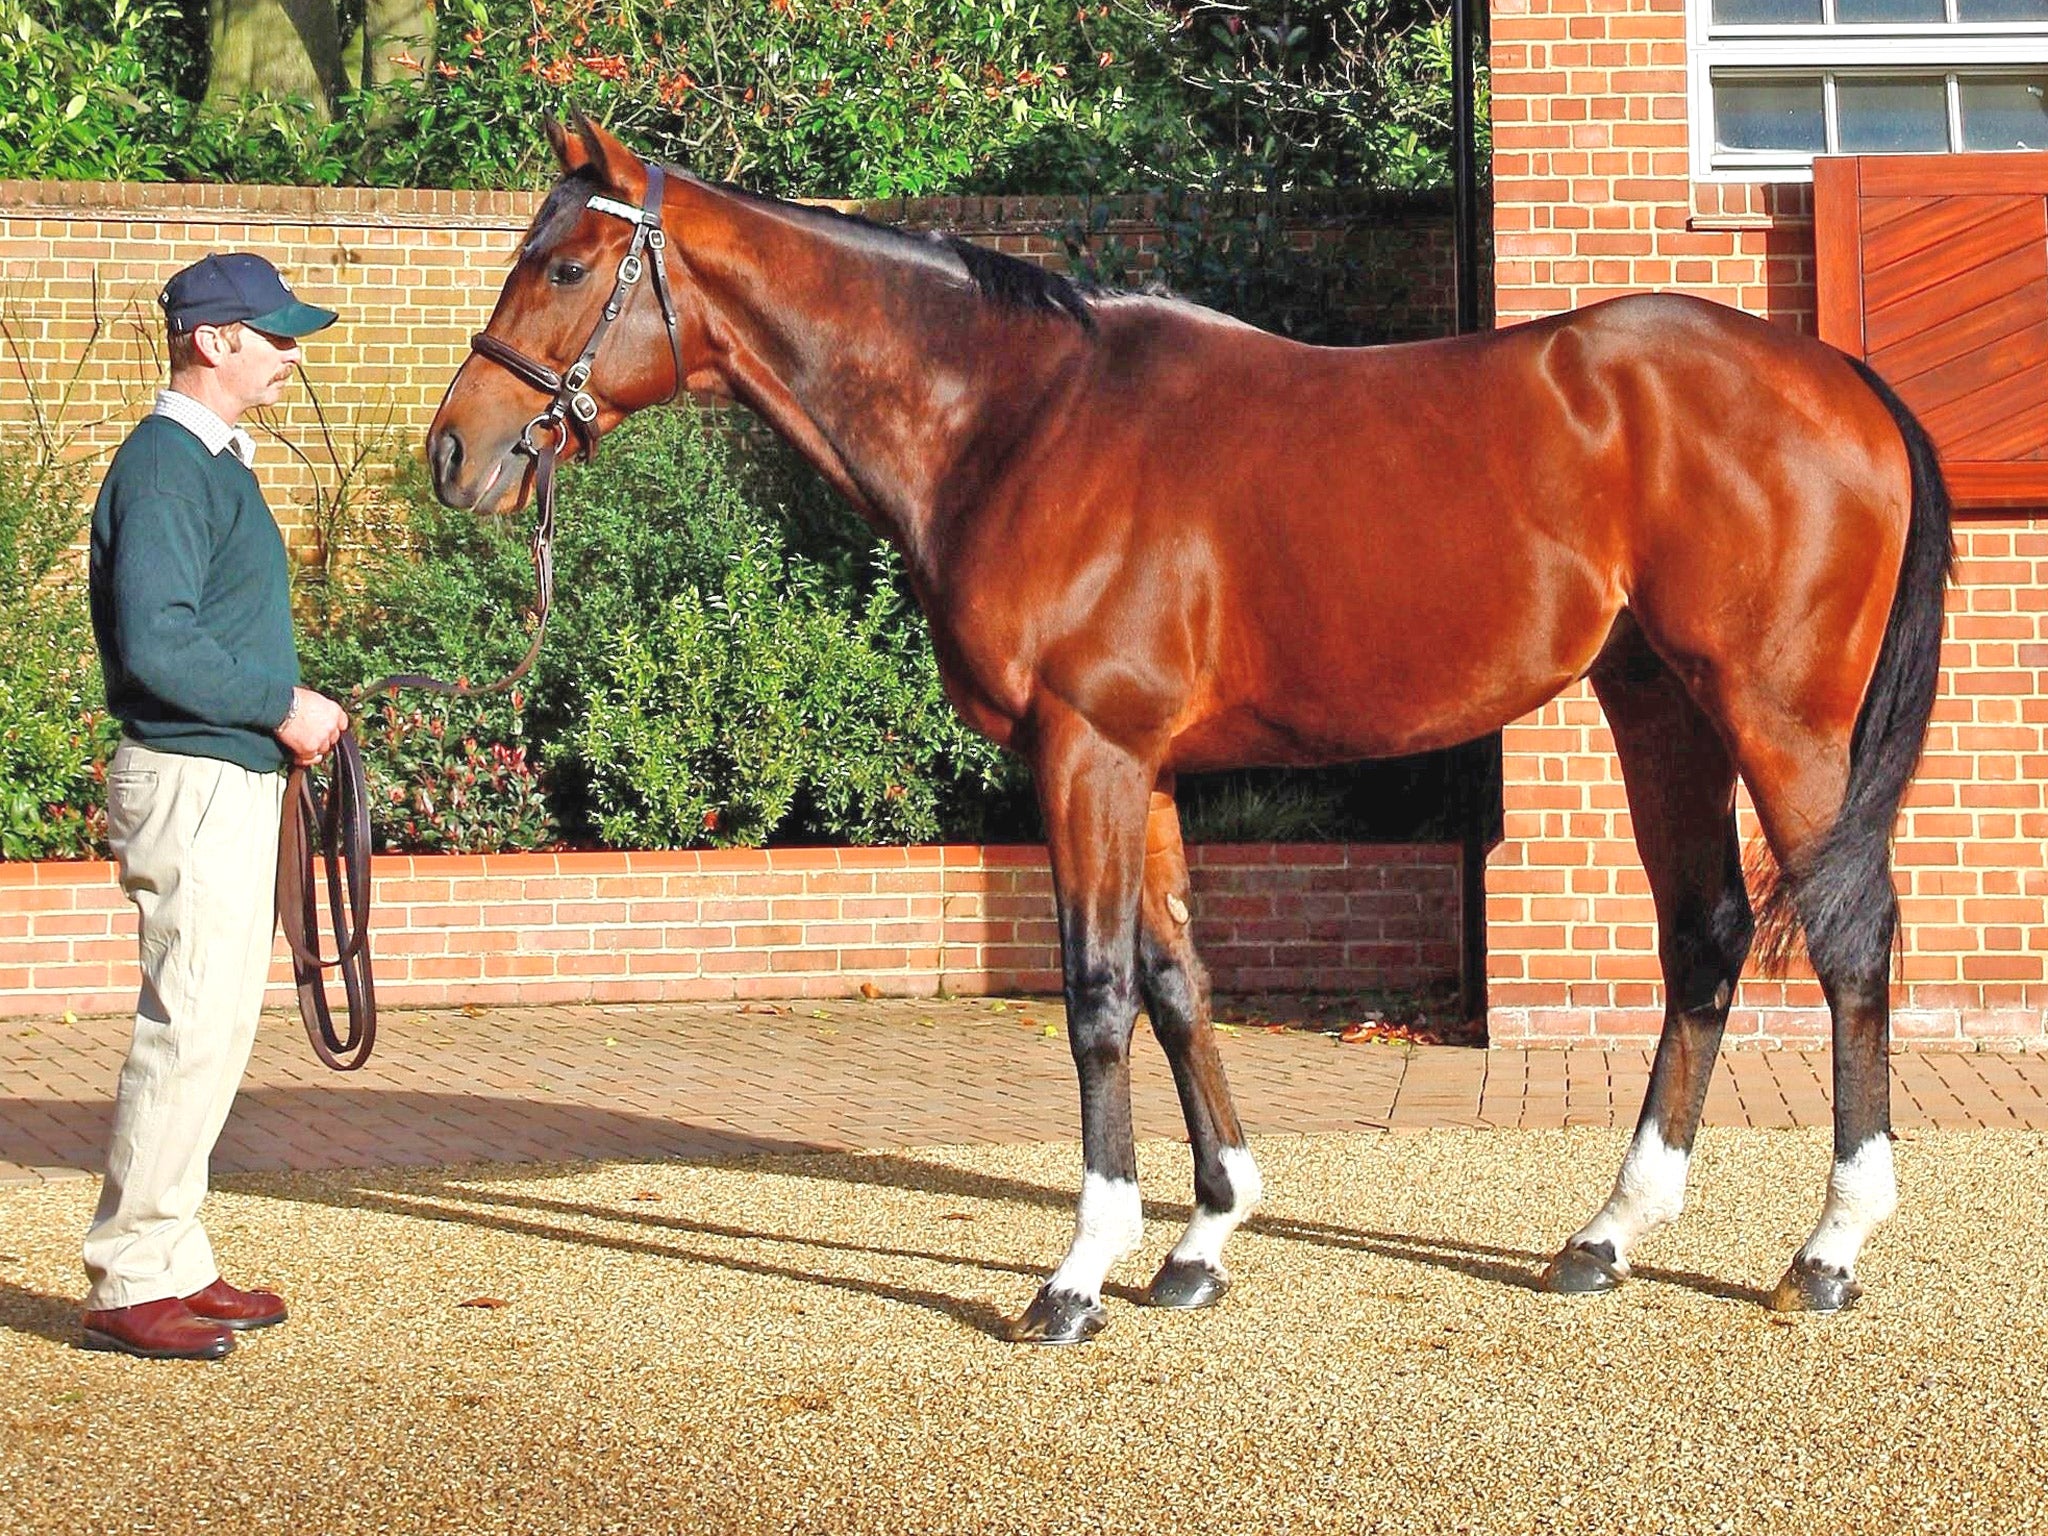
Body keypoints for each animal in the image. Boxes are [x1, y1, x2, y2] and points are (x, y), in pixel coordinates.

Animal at [428, 117, 1949, 1343]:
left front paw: (1078, 1274)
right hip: (1658, 705)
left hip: (1777, 715)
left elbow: (1098, 996)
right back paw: (1608, 1235)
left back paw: (1826, 1251)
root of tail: (1841, 382)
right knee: (1703, 933)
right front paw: (1203, 1242)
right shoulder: (1138, 766)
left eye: (564, 268)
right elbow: (1177, 983)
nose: (455, 451)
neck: (1016, 422)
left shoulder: (1081, 751)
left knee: (1848, 938)